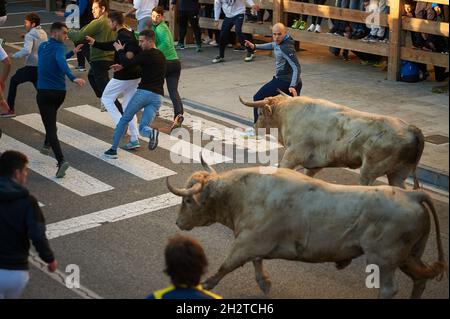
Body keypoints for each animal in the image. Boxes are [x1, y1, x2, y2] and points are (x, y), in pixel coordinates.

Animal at [166, 160, 446, 300]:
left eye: (188, 200)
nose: (178, 223)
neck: (243, 194)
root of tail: (411, 195)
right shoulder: (255, 244)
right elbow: (257, 263)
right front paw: (265, 283)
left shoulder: (245, 243)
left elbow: (226, 266)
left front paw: (205, 284)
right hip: (409, 255)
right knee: (421, 278)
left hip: (384, 259)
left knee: (389, 289)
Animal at [239, 95, 426, 190]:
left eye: (260, 113)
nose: (254, 126)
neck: (286, 113)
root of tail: (410, 128)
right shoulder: (314, 163)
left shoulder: (293, 154)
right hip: (398, 173)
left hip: (370, 170)